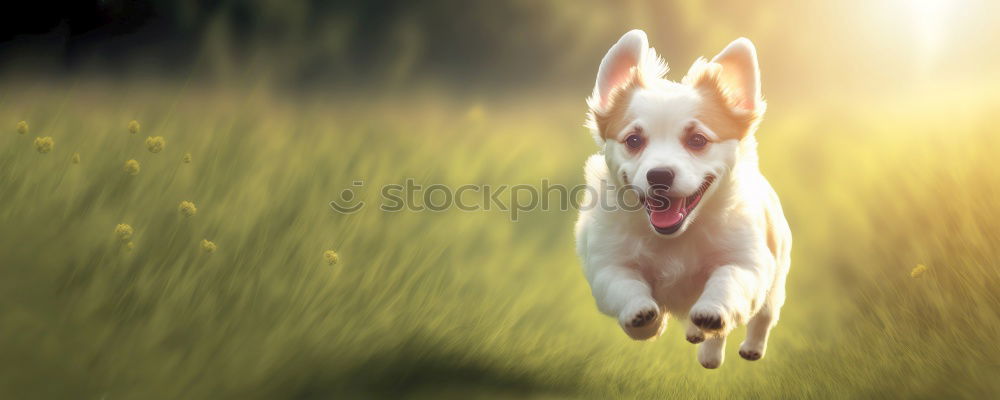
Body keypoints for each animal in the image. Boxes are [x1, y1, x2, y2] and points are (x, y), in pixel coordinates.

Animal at [576, 30, 792, 368]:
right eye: (633, 140)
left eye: (697, 140)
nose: (659, 175)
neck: (676, 236)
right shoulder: (608, 262)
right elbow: (624, 285)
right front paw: (642, 317)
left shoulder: (746, 260)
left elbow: (728, 282)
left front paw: (713, 310)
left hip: (777, 277)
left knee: (763, 318)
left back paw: (745, 349)